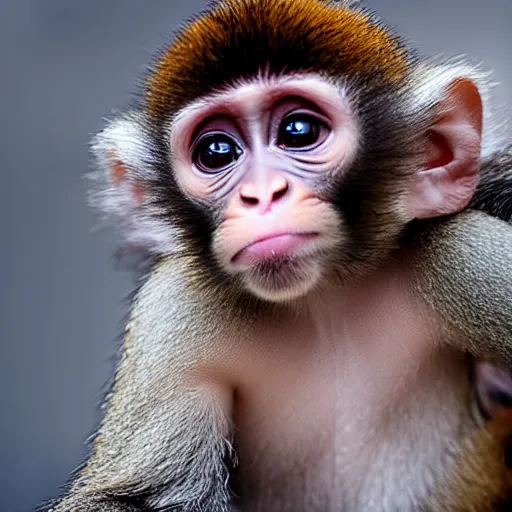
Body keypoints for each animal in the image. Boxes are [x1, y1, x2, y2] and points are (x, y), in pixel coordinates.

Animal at [48, 1, 512, 512]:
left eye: (298, 131)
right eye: (216, 151)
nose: (262, 194)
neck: (324, 301)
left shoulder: (463, 254)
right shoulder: (174, 308)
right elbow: (138, 497)